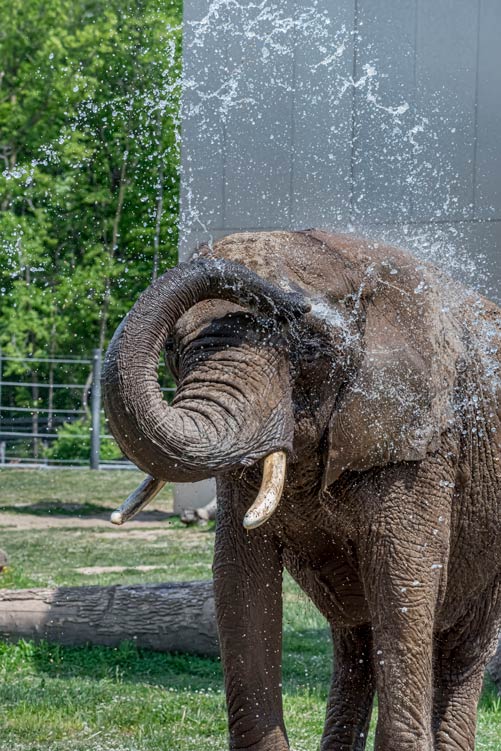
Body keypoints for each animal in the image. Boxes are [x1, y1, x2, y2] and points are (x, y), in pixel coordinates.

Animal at [101, 231, 500, 751]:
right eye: (173, 348)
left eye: (310, 344)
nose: (292, 303)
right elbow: (239, 580)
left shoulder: (422, 443)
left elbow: (402, 577)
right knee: (356, 642)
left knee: (459, 647)